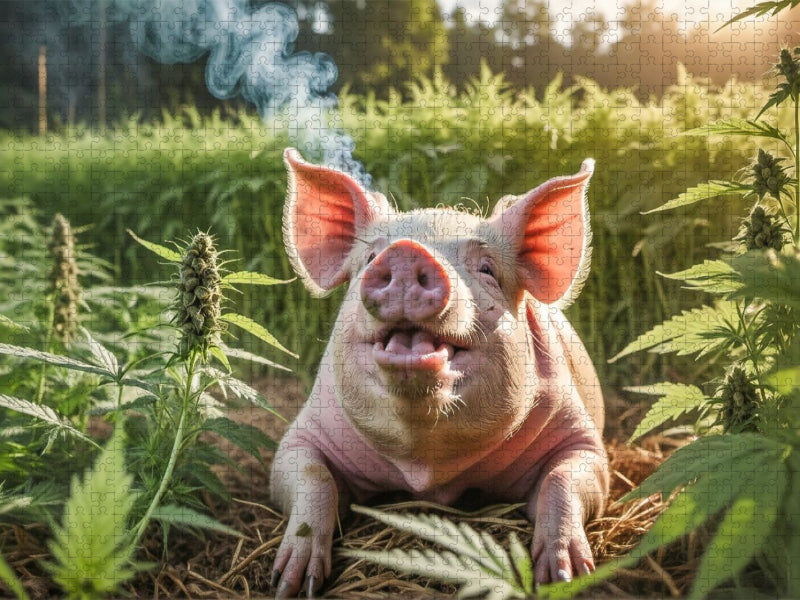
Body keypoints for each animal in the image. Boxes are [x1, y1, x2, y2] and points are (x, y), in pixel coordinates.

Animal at [269, 148, 608, 598]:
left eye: (487, 269)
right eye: (370, 258)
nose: (406, 253)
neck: (428, 466)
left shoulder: (580, 437)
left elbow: (562, 479)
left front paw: (566, 577)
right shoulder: (305, 433)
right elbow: (310, 474)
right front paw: (291, 584)